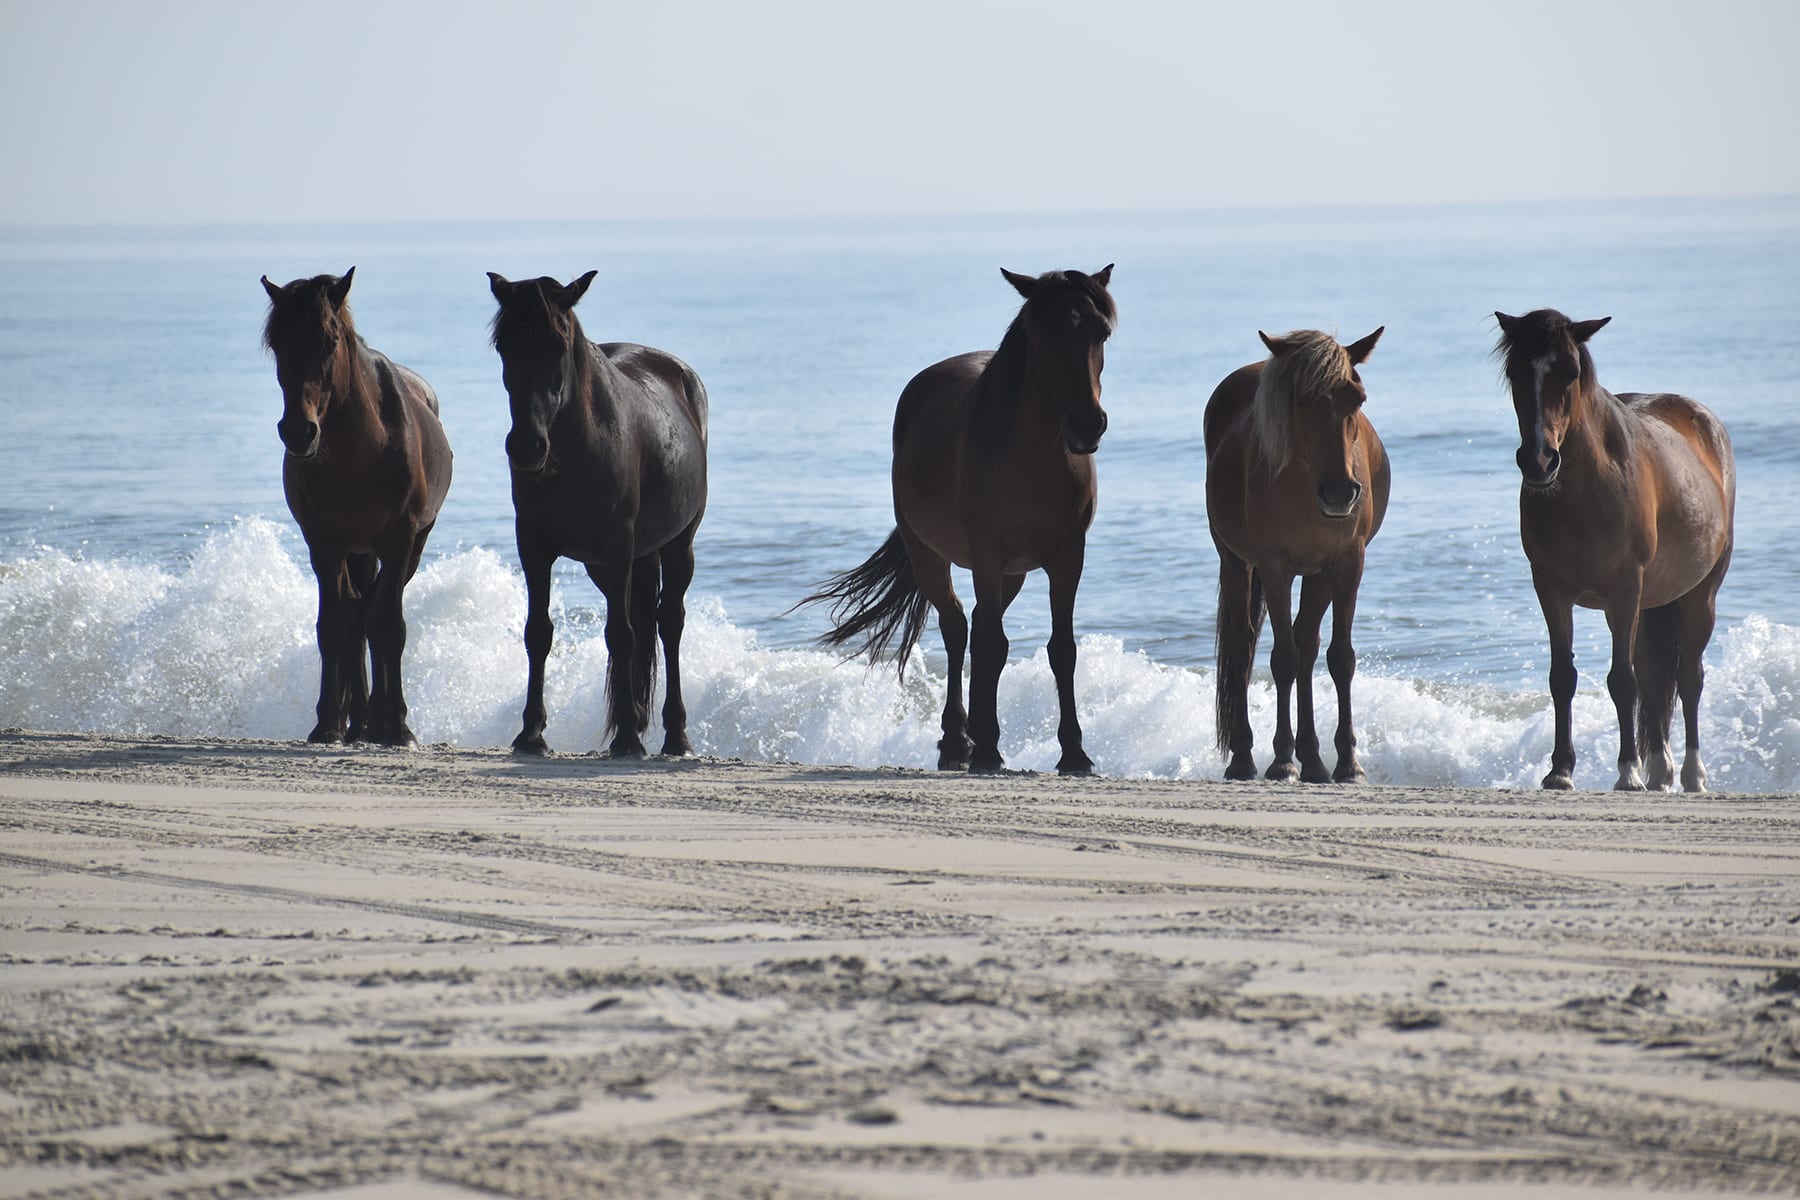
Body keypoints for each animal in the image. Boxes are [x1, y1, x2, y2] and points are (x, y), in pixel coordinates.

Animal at [262, 268, 453, 744]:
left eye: (330, 340)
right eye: (277, 343)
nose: (298, 432)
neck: (363, 449)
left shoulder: (400, 540)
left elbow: (388, 625)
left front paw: (398, 726)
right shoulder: (324, 544)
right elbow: (333, 626)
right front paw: (328, 722)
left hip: (411, 547)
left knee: (373, 613)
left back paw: (378, 720)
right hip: (355, 551)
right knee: (355, 615)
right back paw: (360, 720)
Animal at [486, 271, 709, 759]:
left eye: (557, 342)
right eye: (503, 345)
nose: (526, 447)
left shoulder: (617, 543)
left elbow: (620, 634)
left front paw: (626, 737)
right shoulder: (533, 544)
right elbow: (538, 632)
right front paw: (531, 733)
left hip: (677, 545)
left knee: (669, 622)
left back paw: (674, 734)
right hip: (608, 565)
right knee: (643, 620)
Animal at [802, 264, 1108, 773]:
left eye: (1101, 332)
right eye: (1044, 335)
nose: (1087, 425)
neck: (1032, 460)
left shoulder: (1068, 556)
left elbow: (1061, 649)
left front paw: (1074, 752)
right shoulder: (987, 554)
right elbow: (991, 645)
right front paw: (986, 748)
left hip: (1012, 573)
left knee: (982, 625)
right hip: (931, 557)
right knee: (958, 628)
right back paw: (957, 741)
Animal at [1209, 325, 1389, 788]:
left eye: (1357, 399)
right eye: (1302, 401)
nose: (1341, 493)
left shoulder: (1346, 564)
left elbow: (1339, 658)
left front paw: (1347, 763)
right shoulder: (1275, 568)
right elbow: (1282, 659)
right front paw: (1280, 760)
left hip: (1318, 576)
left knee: (1307, 644)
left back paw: (1313, 758)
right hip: (1235, 563)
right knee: (1243, 649)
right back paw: (1246, 758)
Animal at [1497, 309, 1735, 791]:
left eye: (1570, 372)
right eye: (1515, 373)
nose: (1539, 460)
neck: (1584, 489)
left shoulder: (1624, 589)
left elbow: (1622, 680)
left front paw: (1627, 770)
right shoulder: (1550, 589)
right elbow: (1563, 677)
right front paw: (1560, 770)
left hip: (1699, 595)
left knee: (1689, 677)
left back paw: (1691, 773)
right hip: (1649, 602)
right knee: (1655, 675)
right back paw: (1660, 769)